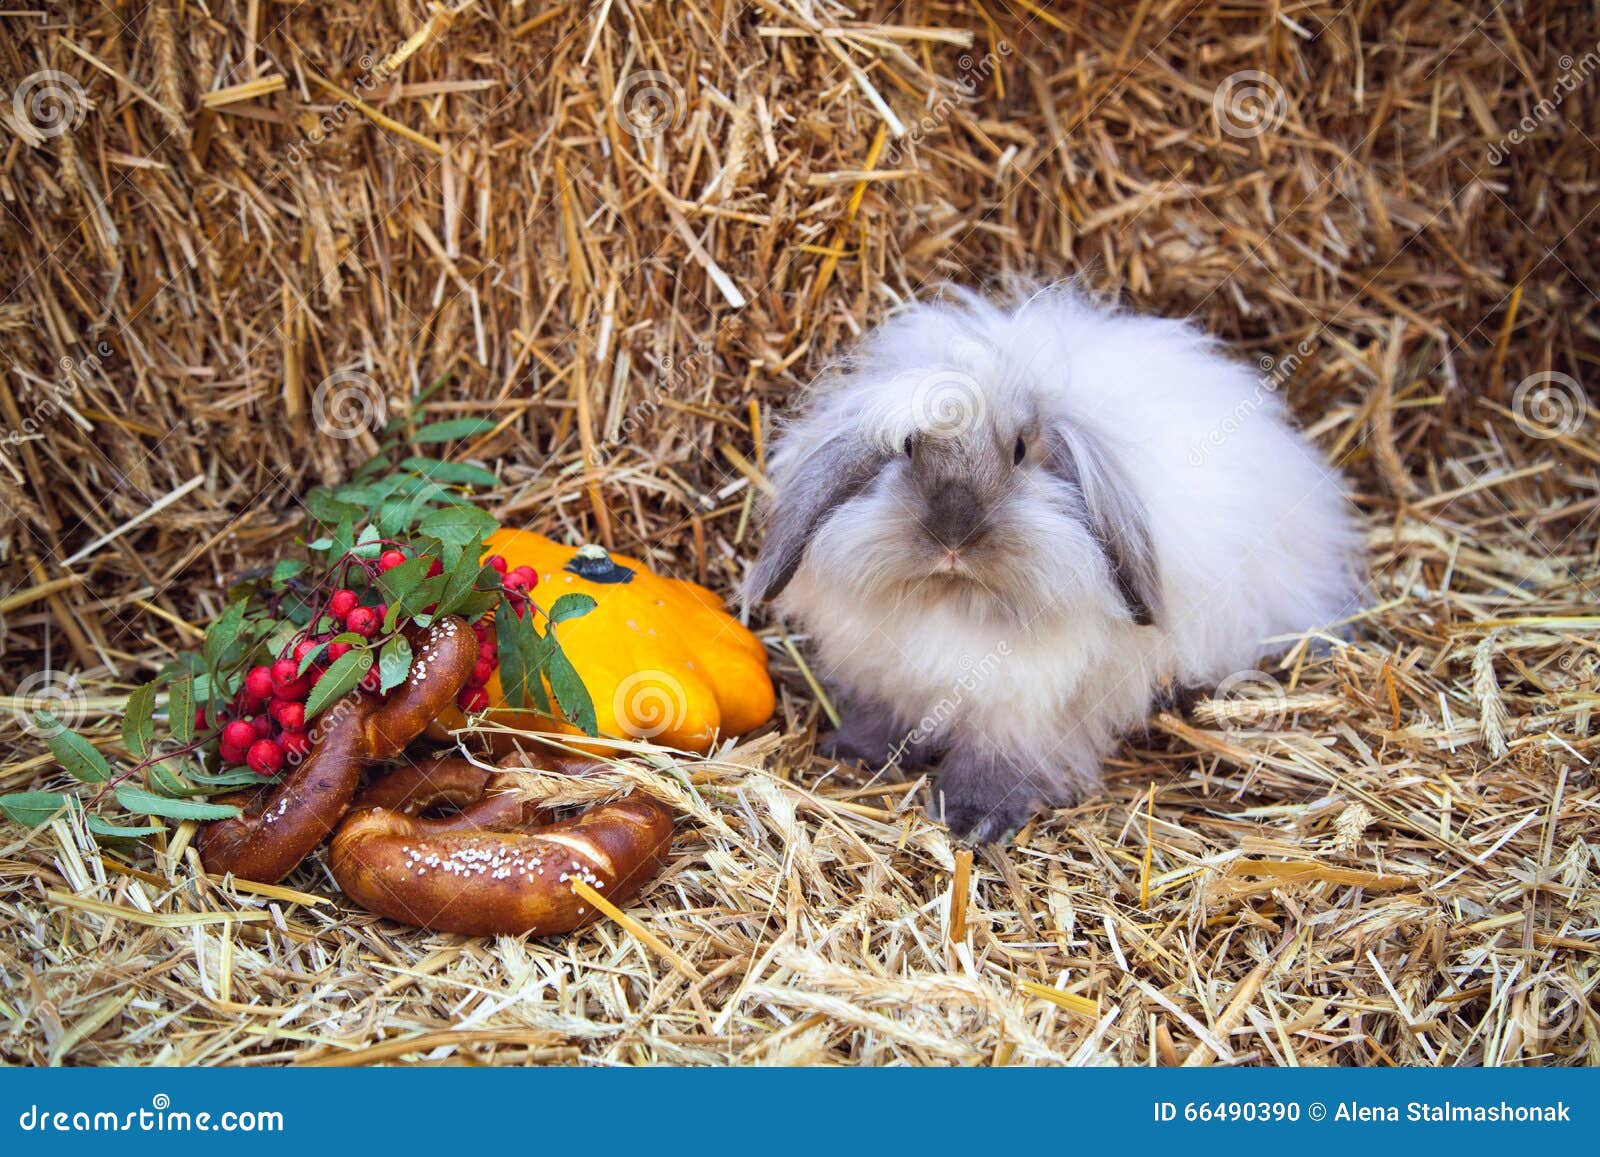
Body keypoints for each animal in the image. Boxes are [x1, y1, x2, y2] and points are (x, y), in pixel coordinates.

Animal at [747, 285, 1364, 844]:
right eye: (909, 448)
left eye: (1021, 451)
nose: (953, 535)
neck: (953, 601)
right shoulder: (887, 679)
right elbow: (883, 719)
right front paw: (852, 755)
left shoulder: (1026, 710)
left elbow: (997, 761)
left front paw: (971, 820)